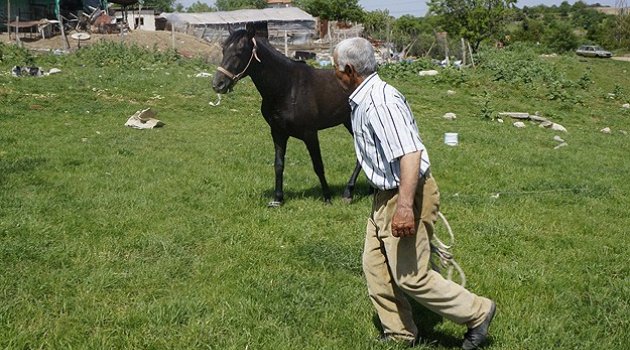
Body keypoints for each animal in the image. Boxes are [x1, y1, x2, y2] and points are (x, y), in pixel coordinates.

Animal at [212, 22, 360, 205]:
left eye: (240, 51)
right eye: (224, 49)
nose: (218, 84)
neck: (287, 87)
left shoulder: (310, 133)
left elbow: (318, 165)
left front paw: (327, 197)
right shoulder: (278, 133)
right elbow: (279, 164)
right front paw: (278, 198)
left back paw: (348, 192)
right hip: (348, 122)